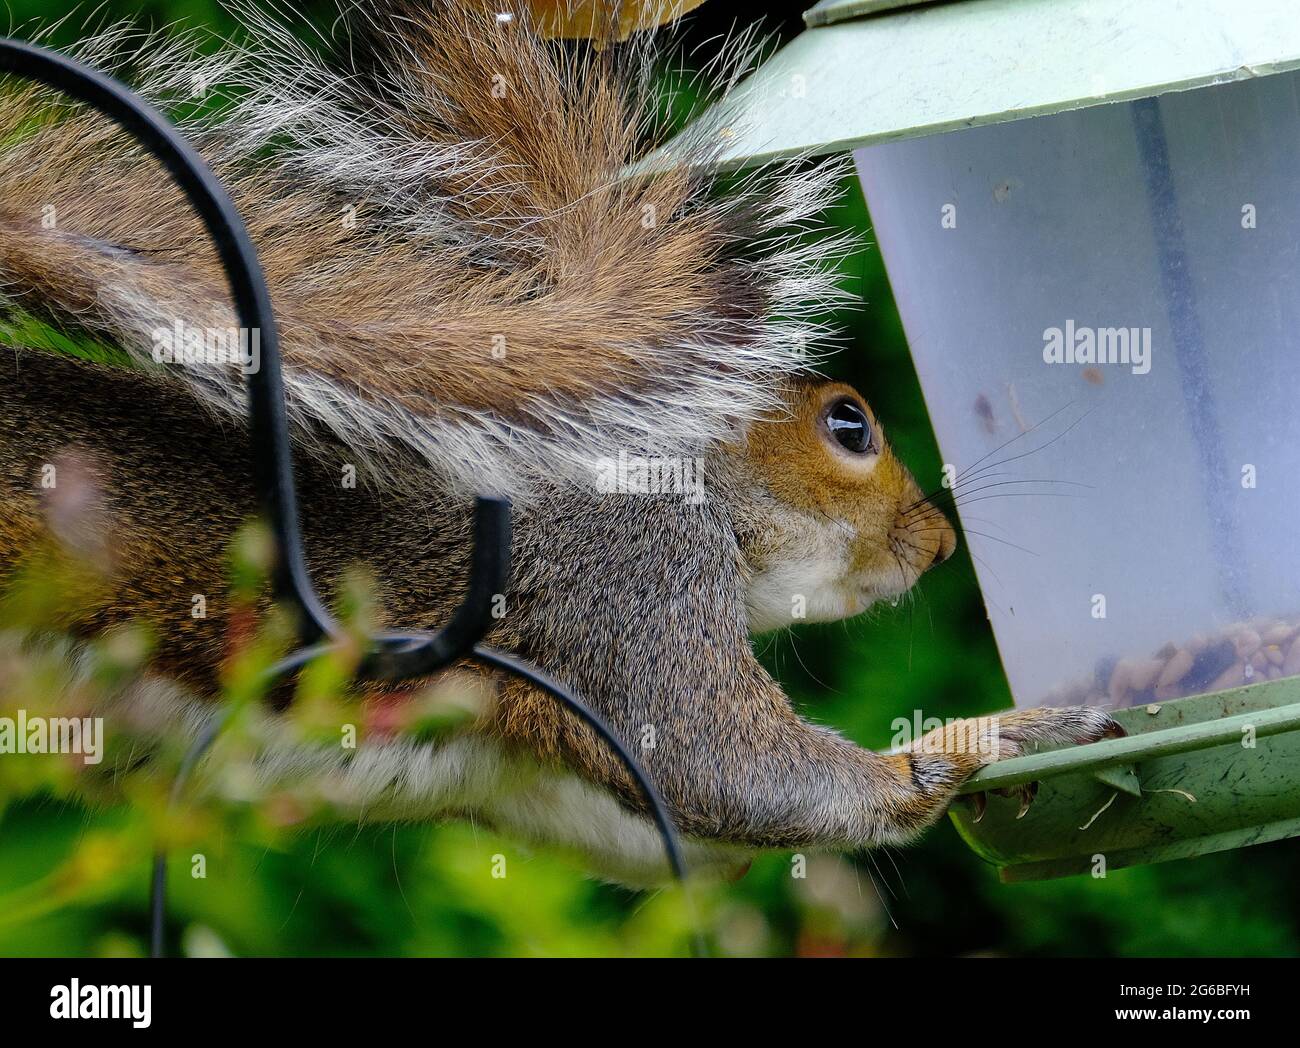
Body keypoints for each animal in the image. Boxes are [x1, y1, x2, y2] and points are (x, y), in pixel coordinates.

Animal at [0, 2, 1118, 884]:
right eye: (848, 423)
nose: (939, 542)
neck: (670, 476)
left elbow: (683, 836)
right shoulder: (630, 581)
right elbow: (737, 770)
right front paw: (990, 738)